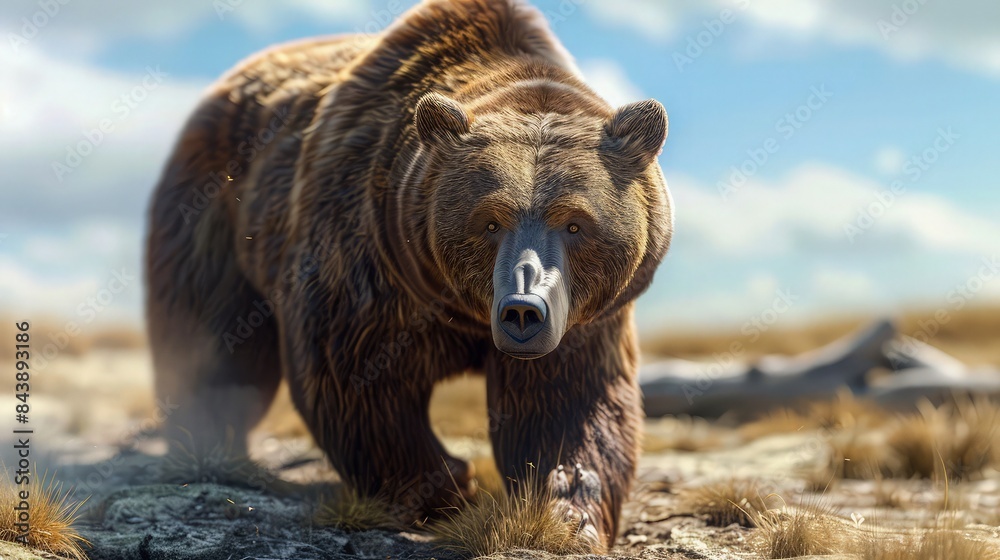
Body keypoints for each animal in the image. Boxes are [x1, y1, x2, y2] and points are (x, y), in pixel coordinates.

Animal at [145, 0, 672, 551]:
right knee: (210, 336)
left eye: (574, 223)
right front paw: (446, 487)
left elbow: (568, 403)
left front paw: (566, 513)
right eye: (489, 221)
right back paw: (209, 444)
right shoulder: (367, 258)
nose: (523, 310)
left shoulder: (582, 317)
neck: (459, 309)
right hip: (216, 209)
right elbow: (358, 377)